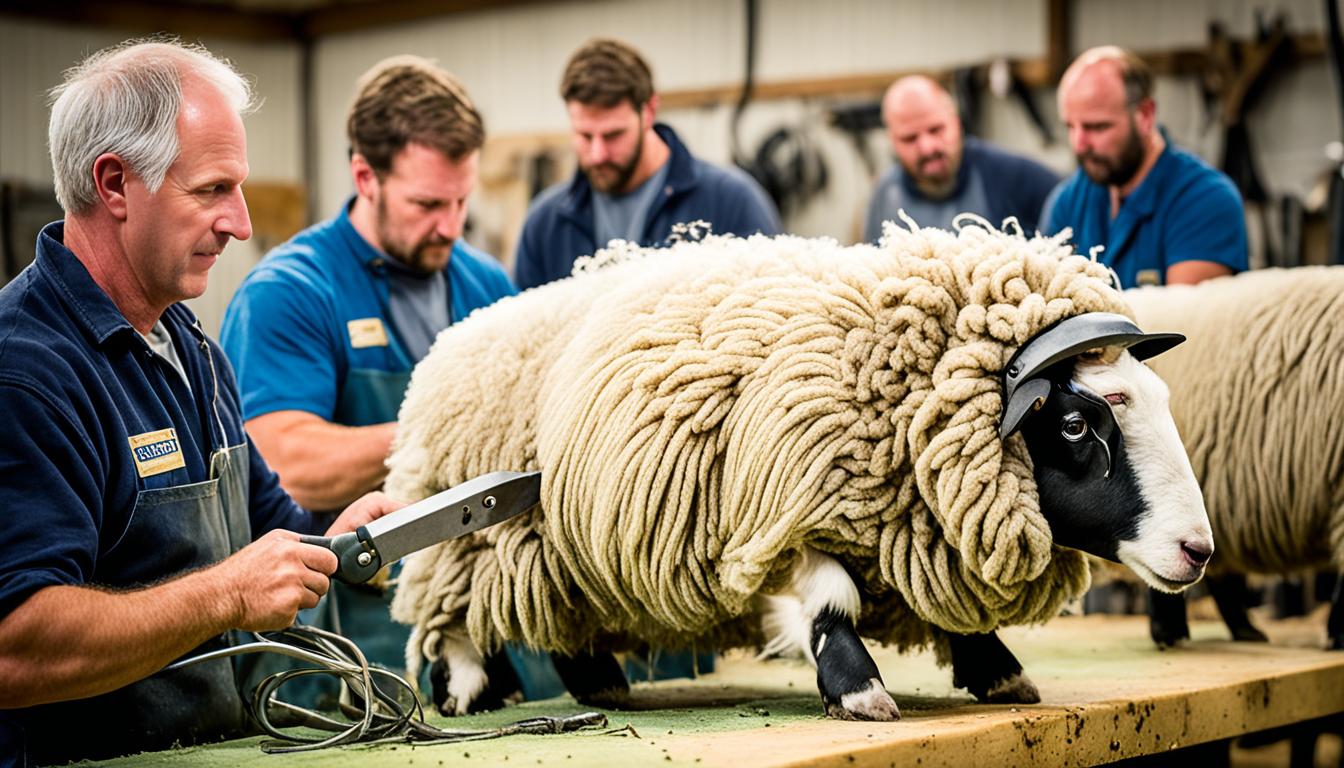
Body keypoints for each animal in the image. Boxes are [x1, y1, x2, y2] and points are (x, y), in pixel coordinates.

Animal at [384, 221, 1214, 720]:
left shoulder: (902, 524)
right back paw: (466, 691)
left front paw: (996, 668)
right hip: (476, 537)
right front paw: (859, 689)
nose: (1198, 551)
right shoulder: (780, 508)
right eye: (1076, 424)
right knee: (451, 619)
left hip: (555, 552)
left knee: (552, 610)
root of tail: (457, 335)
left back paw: (598, 680)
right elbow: (830, 598)